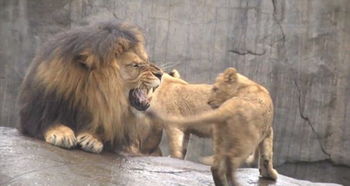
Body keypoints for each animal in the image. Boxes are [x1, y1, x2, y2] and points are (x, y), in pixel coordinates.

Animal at [19, 21, 165, 153]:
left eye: (146, 60)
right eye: (135, 65)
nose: (160, 74)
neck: (89, 95)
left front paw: (92, 139)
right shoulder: (41, 110)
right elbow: (46, 121)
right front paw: (61, 133)